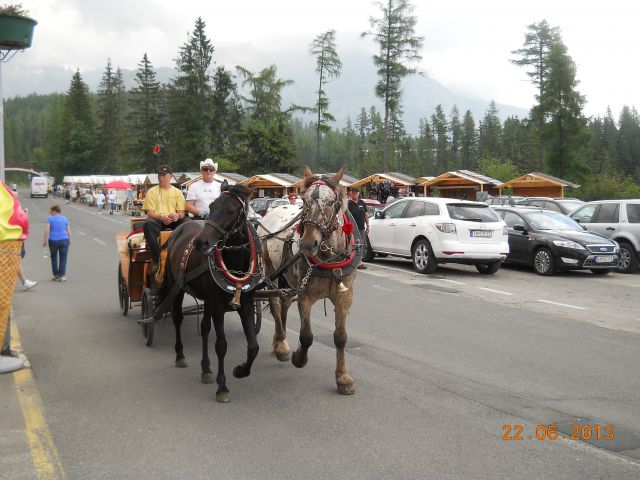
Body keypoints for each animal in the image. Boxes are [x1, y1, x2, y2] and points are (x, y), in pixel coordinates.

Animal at [160, 182, 260, 404]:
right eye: (212, 206)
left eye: (231, 211)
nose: (201, 243)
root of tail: (179, 229)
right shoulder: (217, 306)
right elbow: (221, 345)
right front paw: (222, 387)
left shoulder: (245, 303)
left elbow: (253, 346)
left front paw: (241, 370)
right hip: (176, 286)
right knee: (177, 318)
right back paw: (180, 355)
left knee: (204, 328)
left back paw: (205, 369)